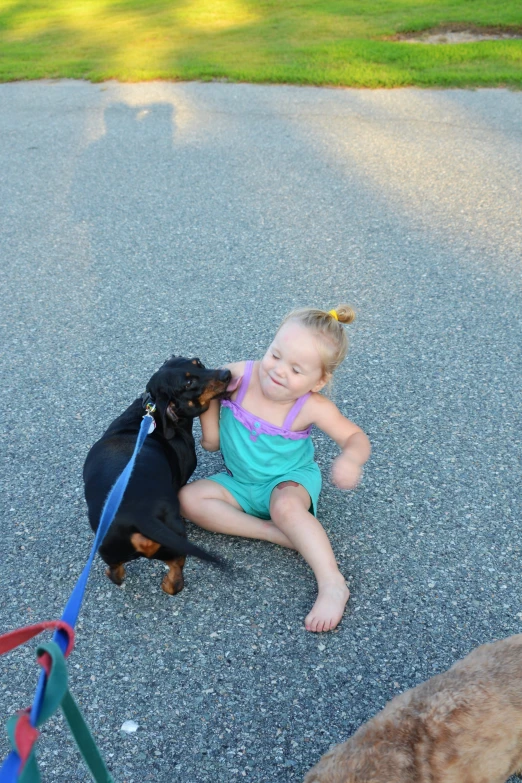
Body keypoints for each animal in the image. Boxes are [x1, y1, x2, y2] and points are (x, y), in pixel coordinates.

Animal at [83, 356, 230, 596]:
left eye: (197, 362)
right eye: (187, 384)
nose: (227, 374)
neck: (151, 413)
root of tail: (140, 514)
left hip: (107, 548)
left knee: (115, 572)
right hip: (175, 543)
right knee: (176, 576)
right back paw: (169, 584)